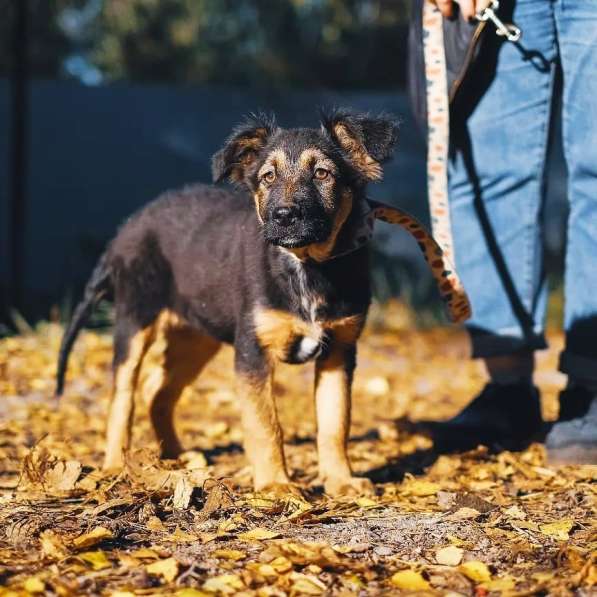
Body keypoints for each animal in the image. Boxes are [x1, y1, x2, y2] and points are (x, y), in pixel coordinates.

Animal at [57, 109, 400, 496]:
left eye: (322, 174)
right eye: (268, 176)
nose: (283, 216)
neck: (305, 265)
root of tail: (125, 230)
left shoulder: (339, 350)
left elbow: (334, 422)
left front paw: (341, 482)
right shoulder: (252, 348)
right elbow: (266, 424)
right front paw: (276, 485)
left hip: (196, 338)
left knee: (156, 390)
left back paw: (175, 456)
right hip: (135, 321)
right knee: (123, 395)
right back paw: (116, 465)